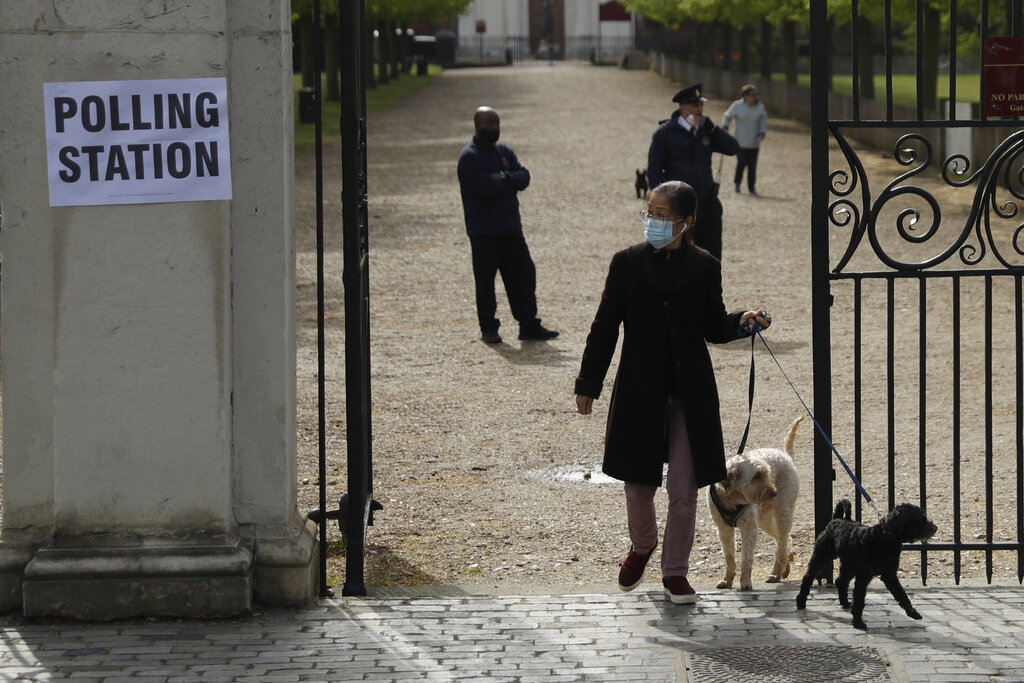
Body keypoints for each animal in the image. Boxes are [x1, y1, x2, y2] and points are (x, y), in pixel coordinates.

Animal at [708, 417, 802, 593]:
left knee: (782, 543)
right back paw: (785, 565)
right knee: (784, 541)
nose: (774, 493)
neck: (732, 500)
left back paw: (775, 573)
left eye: (767, 473)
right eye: (756, 476)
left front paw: (745, 582)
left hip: (783, 514)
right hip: (764, 520)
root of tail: (786, 455)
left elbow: (746, 559)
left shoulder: (749, 529)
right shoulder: (723, 529)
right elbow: (729, 557)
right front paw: (727, 580)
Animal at [794, 497, 937, 630]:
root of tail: (836, 520)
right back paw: (800, 601)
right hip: (821, 557)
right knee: (808, 578)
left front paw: (912, 612)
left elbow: (901, 594)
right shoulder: (863, 577)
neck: (885, 537)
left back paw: (845, 603)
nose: (935, 528)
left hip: (849, 565)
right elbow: (859, 599)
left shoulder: (889, 575)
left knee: (840, 581)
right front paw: (858, 623)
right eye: (921, 518)